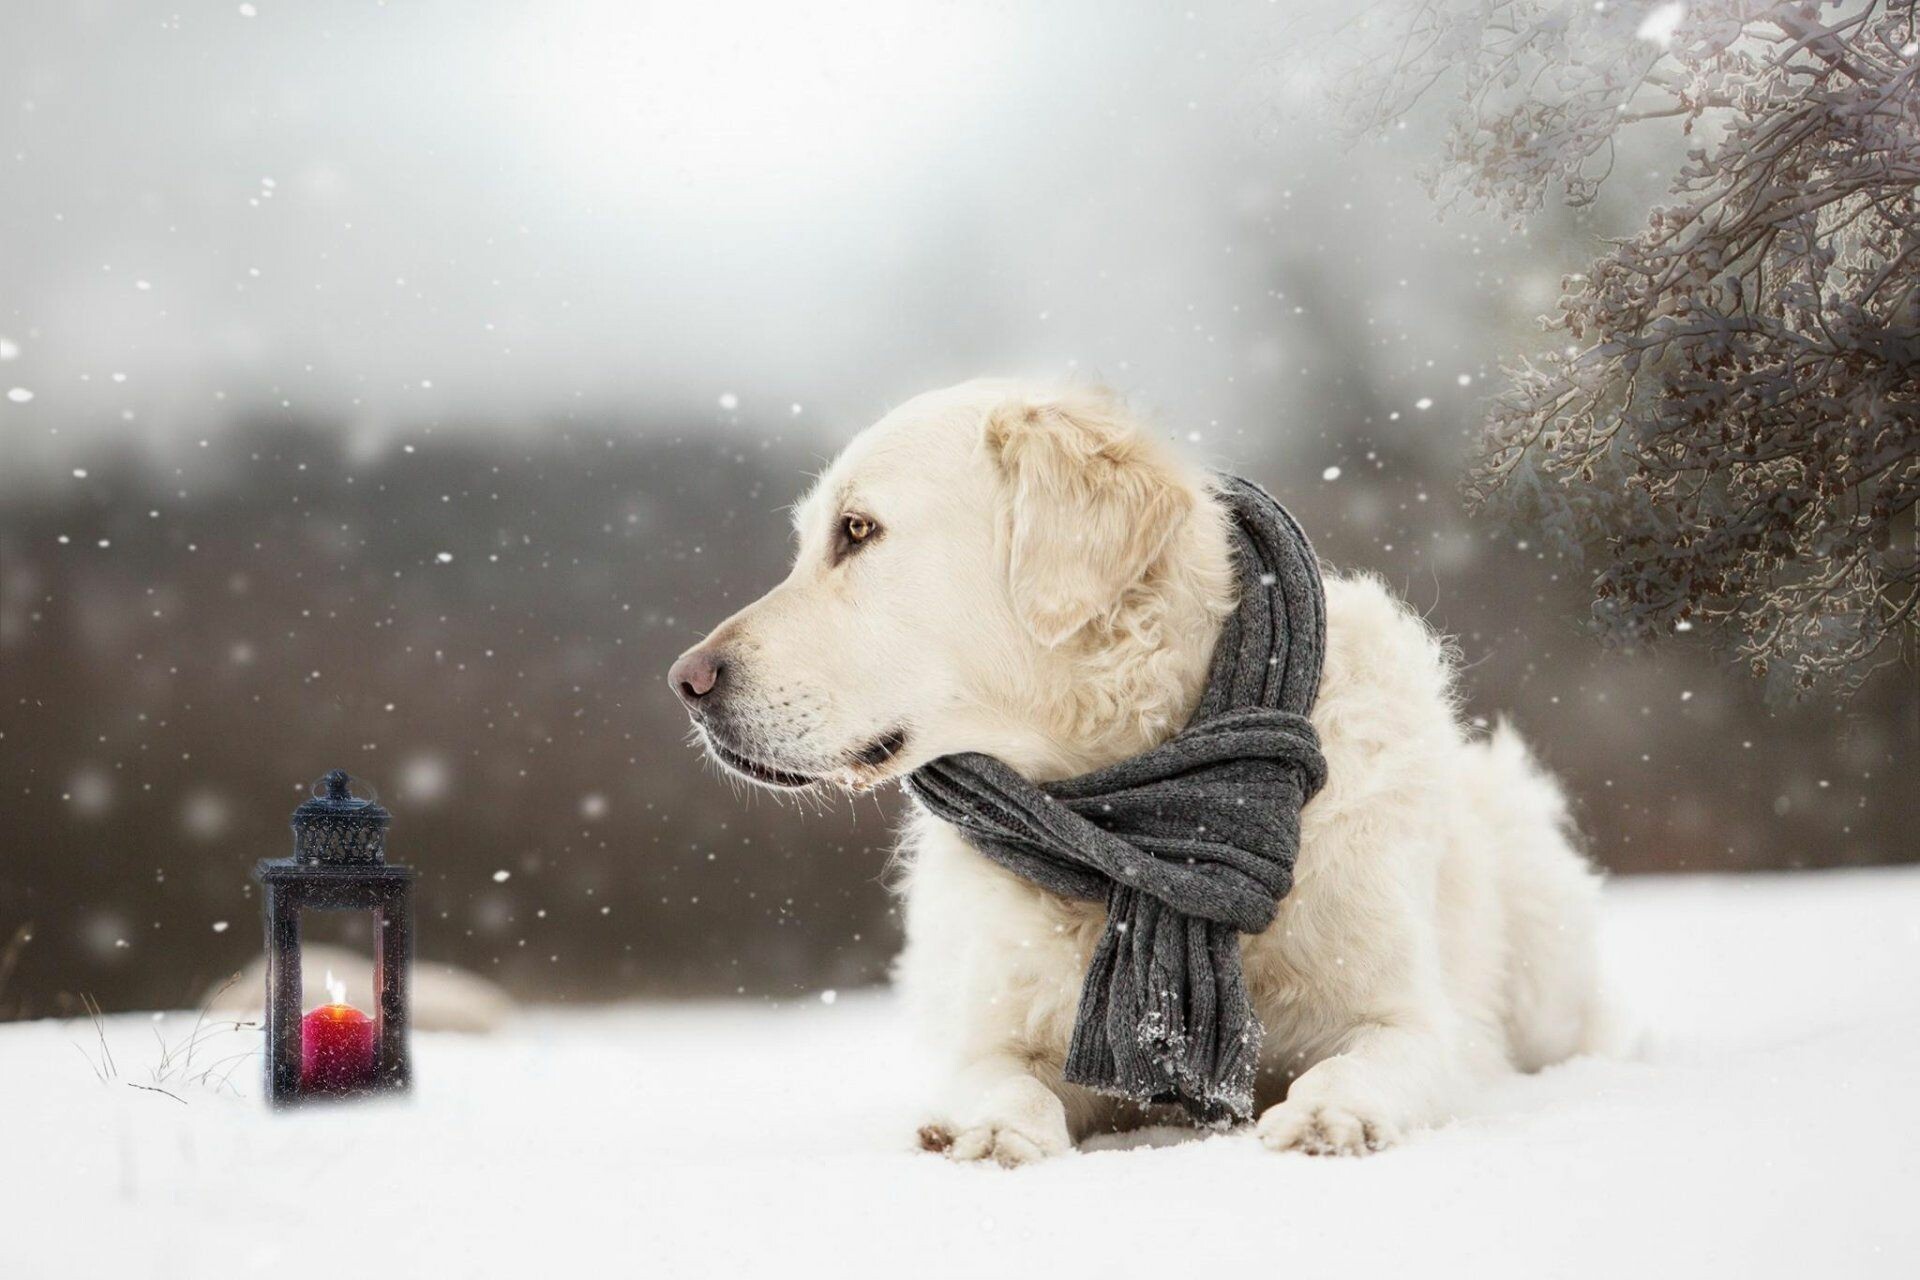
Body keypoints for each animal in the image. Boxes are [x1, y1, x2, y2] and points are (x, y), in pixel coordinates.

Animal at [668, 378, 1612, 1159]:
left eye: (858, 530)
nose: (687, 681)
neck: (1136, 802)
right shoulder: (1005, 1032)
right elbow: (1002, 1079)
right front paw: (988, 1128)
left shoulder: (1409, 1017)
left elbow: (1366, 1058)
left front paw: (1327, 1112)